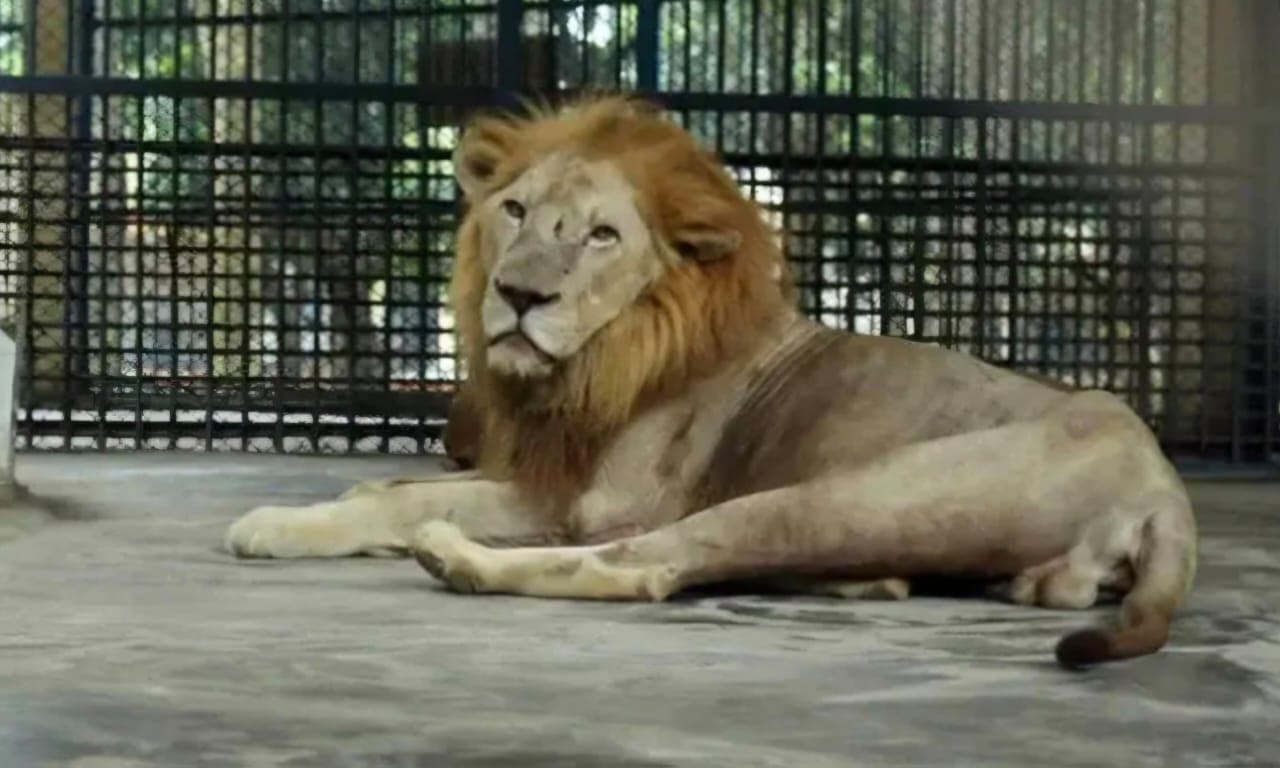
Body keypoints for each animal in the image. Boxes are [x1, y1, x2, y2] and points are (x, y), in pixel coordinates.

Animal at [226, 96, 1198, 668]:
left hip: (842, 494)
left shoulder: (591, 503)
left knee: (650, 565)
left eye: (602, 235)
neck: (604, 356)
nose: (520, 296)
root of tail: (1163, 487)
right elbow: (382, 484)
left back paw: (455, 558)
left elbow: (401, 502)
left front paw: (274, 524)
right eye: (514, 211)